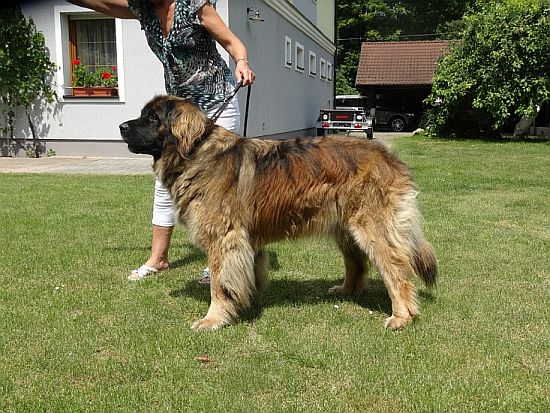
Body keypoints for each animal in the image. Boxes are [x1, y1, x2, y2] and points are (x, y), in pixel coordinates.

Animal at [121, 95, 440, 330]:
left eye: (152, 118)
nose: (122, 126)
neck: (195, 151)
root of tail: (389, 156)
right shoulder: (246, 241)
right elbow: (247, 274)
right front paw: (245, 302)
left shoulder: (224, 239)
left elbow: (220, 284)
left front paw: (214, 318)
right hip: (345, 227)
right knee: (357, 262)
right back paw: (345, 290)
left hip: (371, 227)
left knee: (395, 270)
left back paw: (401, 316)